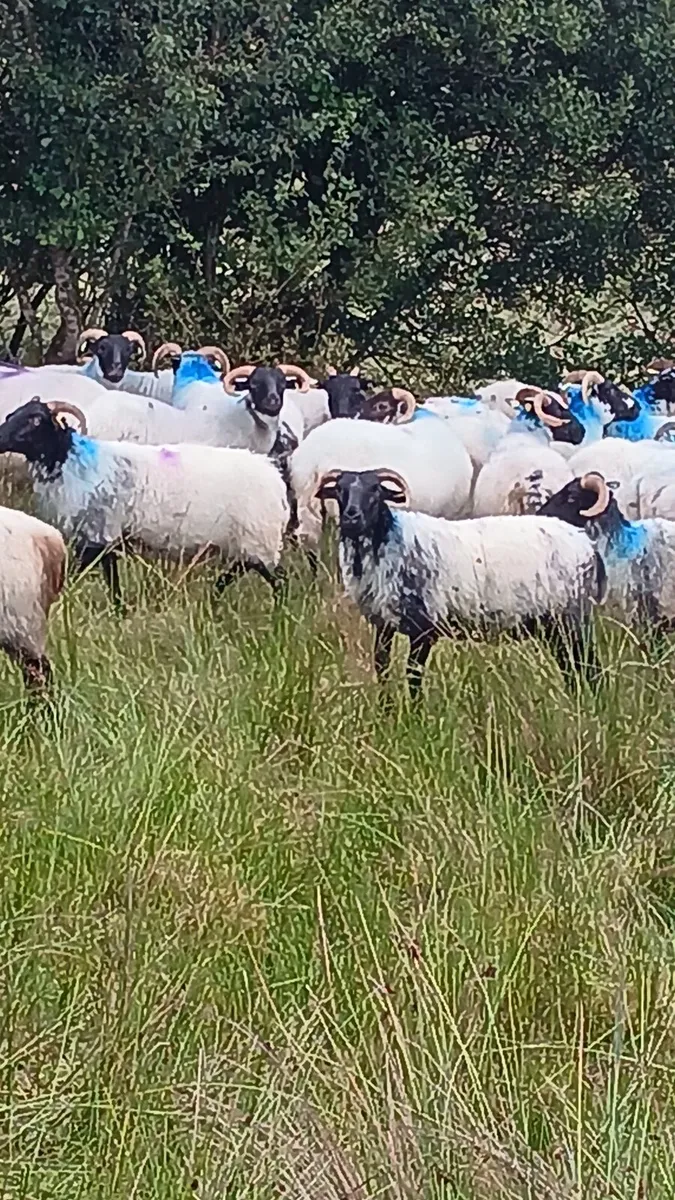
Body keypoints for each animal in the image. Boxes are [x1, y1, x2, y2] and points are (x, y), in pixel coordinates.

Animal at [0, 398, 290, 607]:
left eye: (36, 419)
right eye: (12, 414)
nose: (0, 438)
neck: (68, 459)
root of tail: (275, 479)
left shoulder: (98, 535)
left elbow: (85, 575)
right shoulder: (104, 539)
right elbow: (111, 580)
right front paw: (119, 611)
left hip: (258, 537)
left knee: (276, 579)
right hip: (250, 542)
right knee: (242, 571)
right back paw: (214, 599)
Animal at [315, 467, 605, 696]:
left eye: (376, 490)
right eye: (339, 490)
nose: (351, 516)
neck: (390, 538)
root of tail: (584, 541)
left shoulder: (424, 628)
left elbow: (413, 676)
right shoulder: (383, 625)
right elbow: (382, 670)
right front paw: (385, 713)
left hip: (571, 618)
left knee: (589, 666)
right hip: (553, 626)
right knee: (571, 667)